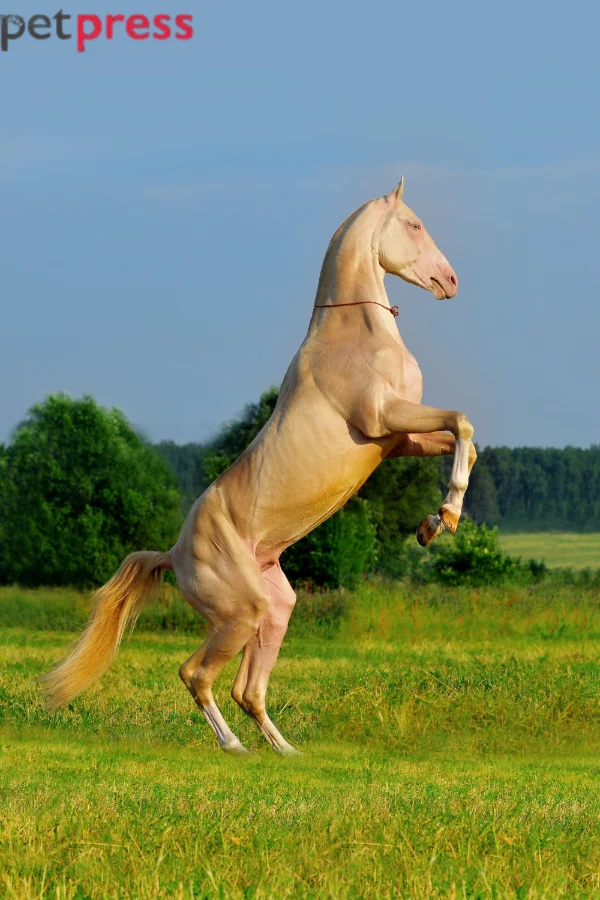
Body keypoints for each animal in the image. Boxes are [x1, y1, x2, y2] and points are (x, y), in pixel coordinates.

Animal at [43, 178, 476, 755]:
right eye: (414, 224)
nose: (449, 281)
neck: (356, 335)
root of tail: (172, 554)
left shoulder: (397, 440)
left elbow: (462, 436)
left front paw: (431, 525)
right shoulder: (384, 418)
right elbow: (463, 423)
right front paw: (445, 518)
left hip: (275, 609)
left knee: (247, 689)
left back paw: (286, 752)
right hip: (240, 613)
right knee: (196, 675)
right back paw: (233, 746)